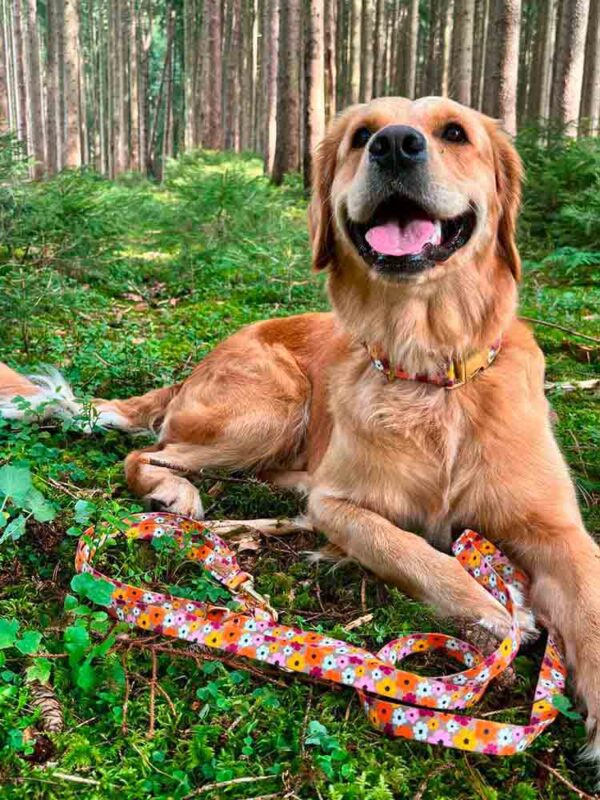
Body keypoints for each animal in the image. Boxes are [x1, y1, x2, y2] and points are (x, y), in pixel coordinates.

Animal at [3, 97, 600, 764]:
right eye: (362, 135)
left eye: (455, 132)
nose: (395, 145)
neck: (429, 373)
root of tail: (200, 364)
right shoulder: (340, 504)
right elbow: (404, 546)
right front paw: (490, 608)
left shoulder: (557, 529)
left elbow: (590, 601)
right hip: (272, 403)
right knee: (147, 456)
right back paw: (176, 494)